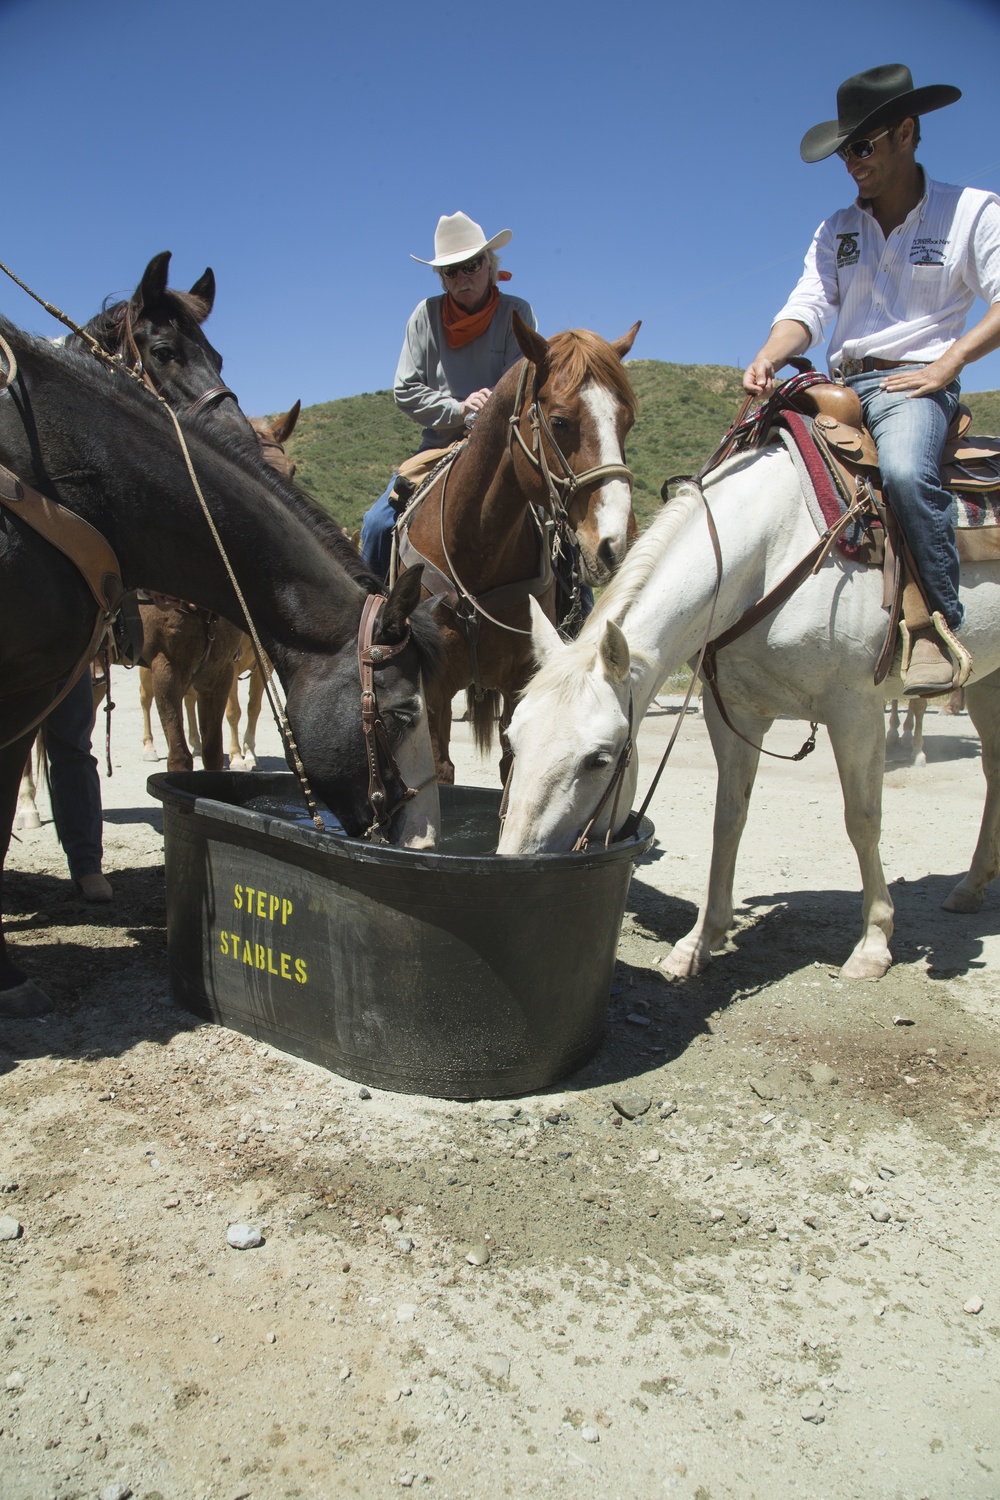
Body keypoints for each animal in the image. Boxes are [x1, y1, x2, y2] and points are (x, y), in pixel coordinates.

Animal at [395, 316, 638, 786]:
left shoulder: (521, 678)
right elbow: (439, 769)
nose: (616, 543)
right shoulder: (433, 690)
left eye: (627, 421)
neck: (476, 552)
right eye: (559, 422)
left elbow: (513, 768)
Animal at [503, 441, 1000, 984]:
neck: (770, 551)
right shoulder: (734, 712)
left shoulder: (855, 709)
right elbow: (728, 818)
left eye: (599, 759)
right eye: (512, 740)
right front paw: (700, 942)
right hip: (985, 683)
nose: (516, 860)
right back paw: (972, 887)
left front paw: (873, 942)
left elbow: (863, 819)